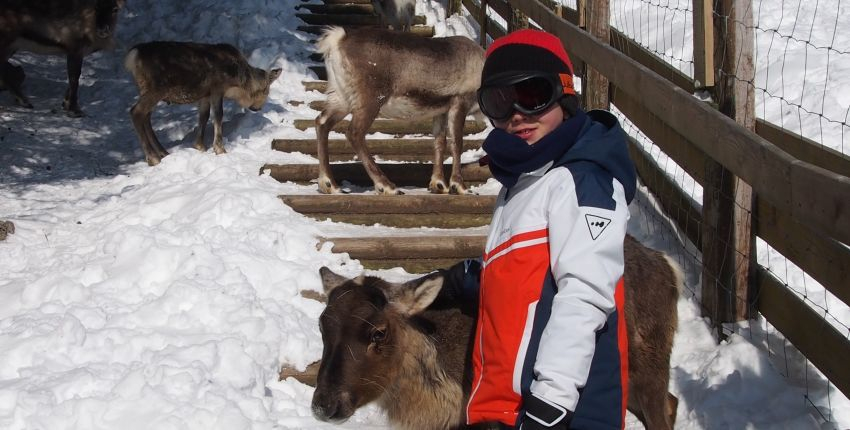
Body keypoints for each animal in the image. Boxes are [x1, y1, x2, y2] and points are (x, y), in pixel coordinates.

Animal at [124, 41, 280, 166]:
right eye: (266, 90)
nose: (257, 108)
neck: (238, 82)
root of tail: (133, 55)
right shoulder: (217, 88)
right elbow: (218, 115)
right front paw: (220, 149)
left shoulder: (205, 94)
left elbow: (203, 116)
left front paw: (199, 146)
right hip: (157, 88)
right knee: (136, 112)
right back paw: (153, 158)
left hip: (145, 88)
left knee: (146, 116)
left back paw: (163, 152)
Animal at [308, 233, 680, 428]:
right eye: (322, 325)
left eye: (379, 332)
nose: (324, 404)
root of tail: (669, 264)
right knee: (672, 401)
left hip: (653, 364)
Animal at [314, 26, 484, 194]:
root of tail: (337, 39)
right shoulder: (460, 101)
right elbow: (457, 143)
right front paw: (460, 186)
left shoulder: (441, 109)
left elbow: (439, 142)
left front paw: (439, 184)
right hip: (370, 100)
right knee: (354, 133)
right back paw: (386, 186)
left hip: (341, 97)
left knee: (322, 123)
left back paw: (329, 184)